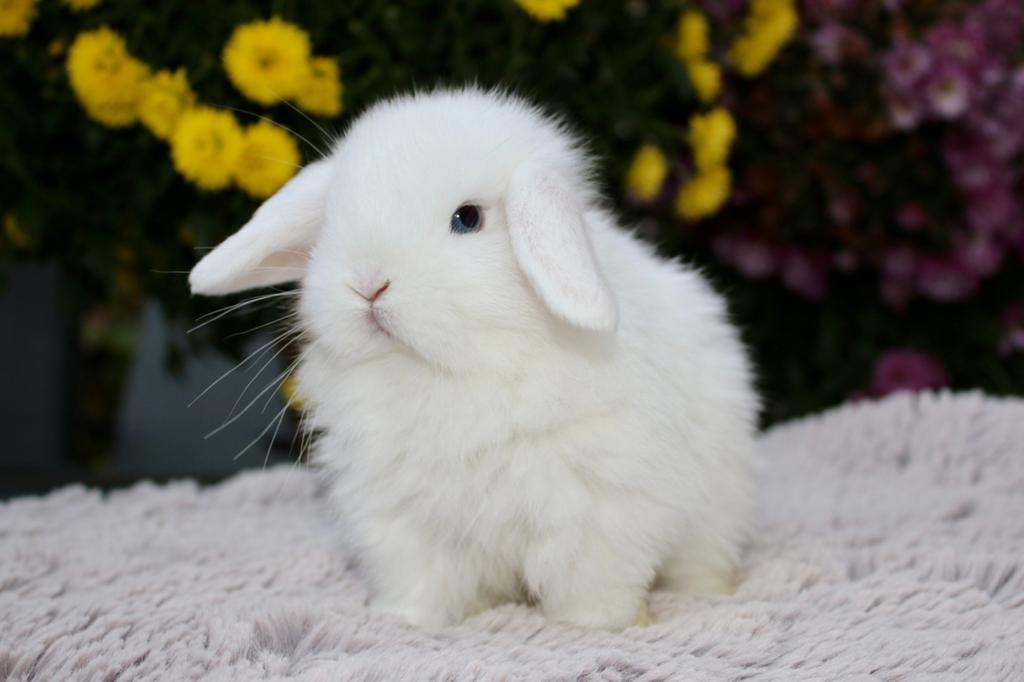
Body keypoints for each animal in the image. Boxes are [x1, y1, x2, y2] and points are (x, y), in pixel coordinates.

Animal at [189, 88, 759, 631]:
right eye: (330, 220)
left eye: (467, 219)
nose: (367, 284)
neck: (454, 370)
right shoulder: (400, 520)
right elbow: (419, 582)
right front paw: (404, 620)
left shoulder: (596, 512)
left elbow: (590, 582)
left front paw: (601, 626)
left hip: (716, 509)